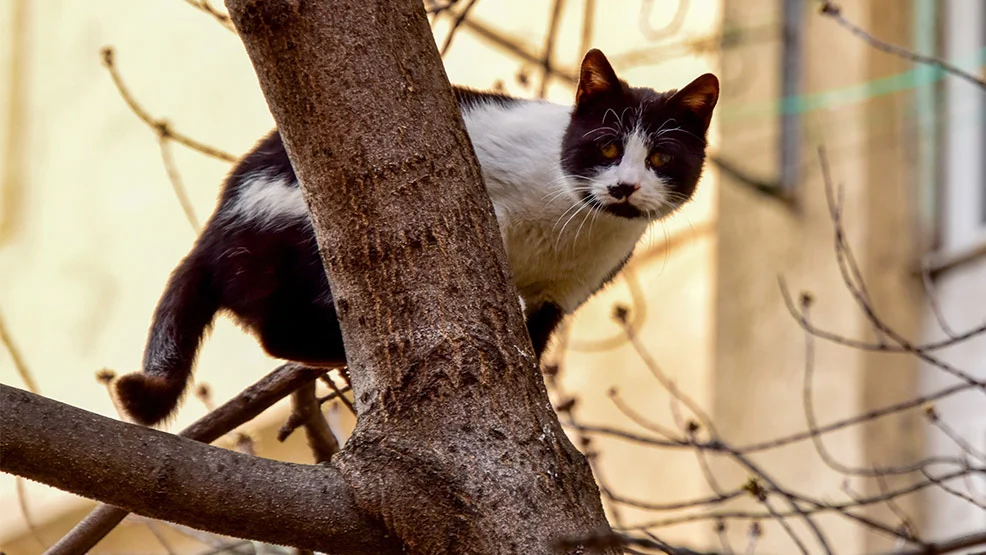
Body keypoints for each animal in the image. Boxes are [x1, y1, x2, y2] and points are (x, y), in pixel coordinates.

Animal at [115, 52, 720, 426]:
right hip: (301, 226)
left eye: (661, 158)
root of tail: (210, 236)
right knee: (280, 329)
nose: (624, 186)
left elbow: (535, 337)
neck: (573, 223)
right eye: (607, 147)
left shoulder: (569, 289)